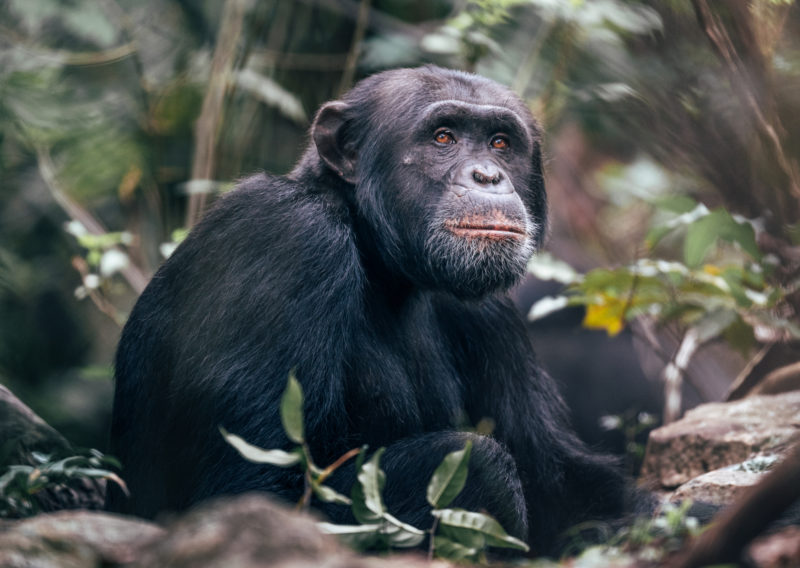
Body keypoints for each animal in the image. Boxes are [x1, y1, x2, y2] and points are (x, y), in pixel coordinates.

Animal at [106, 66, 636, 556]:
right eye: (444, 137)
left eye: (501, 142)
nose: (488, 175)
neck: (380, 261)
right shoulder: (284, 237)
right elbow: (251, 494)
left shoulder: (489, 310)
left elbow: (562, 479)